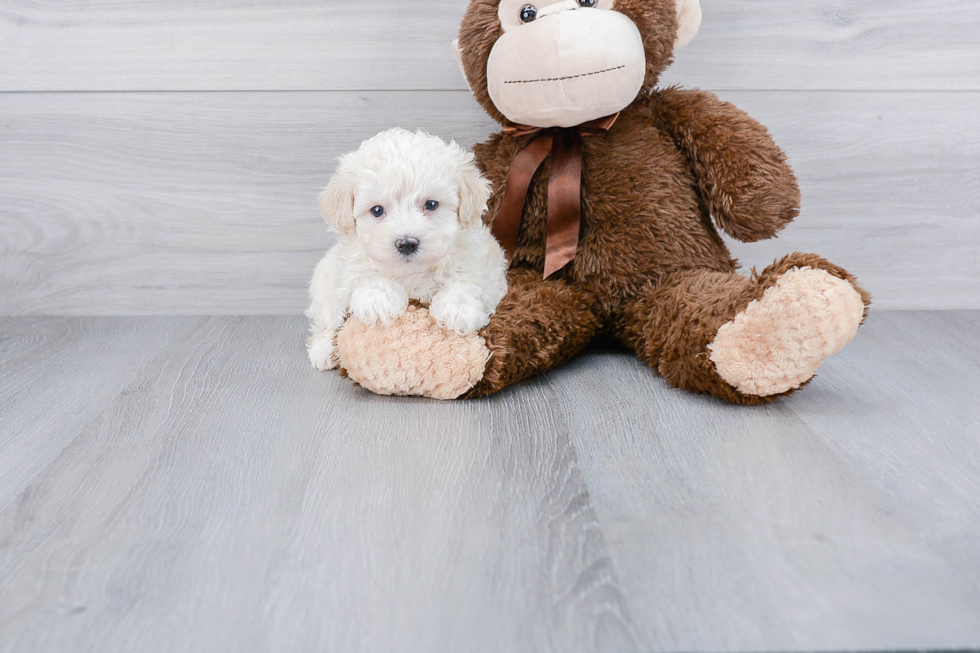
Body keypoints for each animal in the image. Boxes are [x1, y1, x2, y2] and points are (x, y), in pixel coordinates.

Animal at [304, 129, 506, 372]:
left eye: (431, 204)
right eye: (377, 210)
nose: (407, 243)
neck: (412, 273)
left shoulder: (482, 265)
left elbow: (468, 281)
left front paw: (458, 308)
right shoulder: (349, 265)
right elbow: (365, 276)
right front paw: (378, 298)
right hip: (323, 283)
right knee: (328, 317)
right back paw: (323, 350)